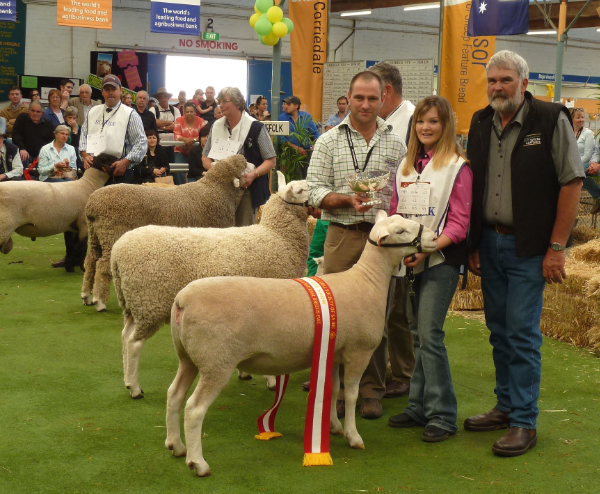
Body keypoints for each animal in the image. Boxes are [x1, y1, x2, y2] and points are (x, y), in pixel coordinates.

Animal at [81, 154, 250, 310]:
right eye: (245, 166)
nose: (254, 166)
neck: (215, 190)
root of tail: (92, 205)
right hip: (111, 233)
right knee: (102, 265)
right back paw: (99, 301)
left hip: (96, 235)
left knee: (90, 260)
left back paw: (86, 295)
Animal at [111, 172, 310, 400]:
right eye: (301, 190)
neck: (278, 235)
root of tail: (117, 251)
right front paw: (271, 381)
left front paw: (244, 373)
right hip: (149, 300)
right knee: (134, 343)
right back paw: (135, 388)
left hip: (132, 300)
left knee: (125, 336)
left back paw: (127, 380)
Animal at [164, 211, 436, 474]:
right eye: (400, 231)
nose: (434, 238)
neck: (368, 280)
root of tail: (182, 300)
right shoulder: (359, 352)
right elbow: (350, 394)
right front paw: (353, 436)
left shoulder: (333, 351)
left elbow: (333, 390)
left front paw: (333, 426)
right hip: (216, 361)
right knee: (194, 409)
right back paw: (198, 463)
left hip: (188, 357)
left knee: (174, 395)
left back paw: (176, 446)